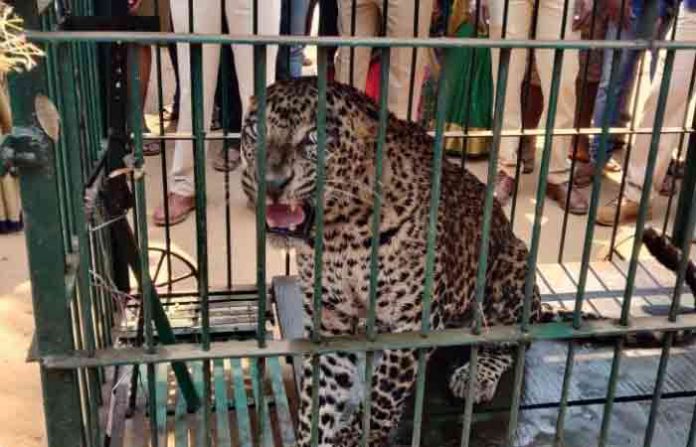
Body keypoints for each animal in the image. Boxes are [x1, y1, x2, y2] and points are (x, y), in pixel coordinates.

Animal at [240, 77, 558, 446]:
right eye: (255, 131)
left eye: (315, 137)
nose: (271, 182)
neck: (338, 237)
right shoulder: (330, 320)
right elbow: (319, 396)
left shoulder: (414, 320)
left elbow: (380, 397)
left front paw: (355, 437)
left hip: (513, 271)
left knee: (510, 342)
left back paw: (475, 375)